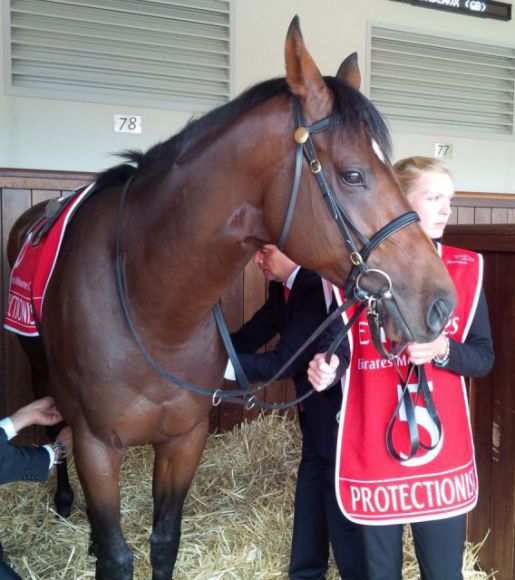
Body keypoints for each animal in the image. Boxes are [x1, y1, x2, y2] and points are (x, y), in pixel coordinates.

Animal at [7, 15, 456, 576]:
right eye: (354, 174)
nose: (441, 302)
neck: (149, 305)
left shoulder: (184, 440)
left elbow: (164, 541)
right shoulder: (96, 446)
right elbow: (116, 555)